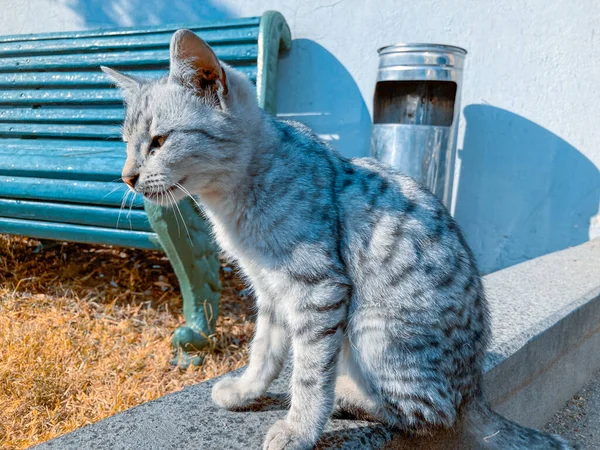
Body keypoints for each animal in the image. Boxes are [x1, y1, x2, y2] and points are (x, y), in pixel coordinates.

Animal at [101, 29, 576, 450]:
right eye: (126, 144)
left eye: (159, 141)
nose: (127, 176)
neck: (235, 199)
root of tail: (475, 391)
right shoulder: (271, 291)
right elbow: (264, 352)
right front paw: (245, 391)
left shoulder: (318, 289)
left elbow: (309, 373)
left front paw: (299, 429)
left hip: (372, 328)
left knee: (427, 413)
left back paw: (348, 396)